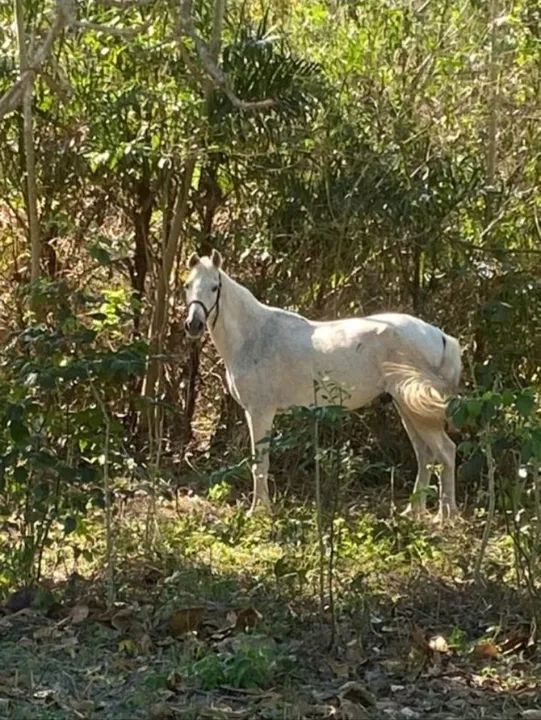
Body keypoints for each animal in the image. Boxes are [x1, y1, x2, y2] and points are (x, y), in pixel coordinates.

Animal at [184, 249, 462, 522]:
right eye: (187, 285)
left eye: (214, 287)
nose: (193, 324)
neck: (255, 336)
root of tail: (439, 335)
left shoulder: (260, 411)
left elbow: (260, 463)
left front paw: (259, 512)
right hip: (407, 406)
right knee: (425, 454)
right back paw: (413, 512)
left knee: (446, 452)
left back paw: (446, 517)